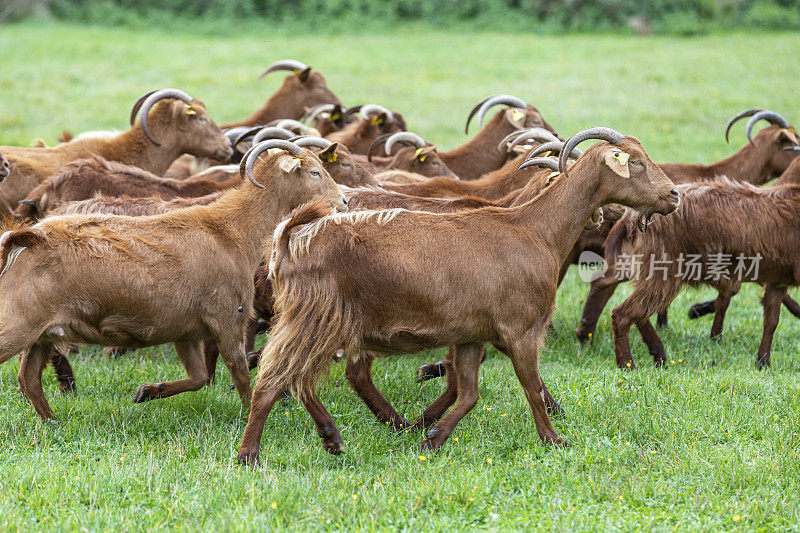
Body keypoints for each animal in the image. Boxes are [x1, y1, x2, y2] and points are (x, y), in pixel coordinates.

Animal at [234, 128, 680, 462]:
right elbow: (530, 386)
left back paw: (335, 436)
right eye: (635, 162)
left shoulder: (471, 335)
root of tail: (289, 240)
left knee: (300, 379)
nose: (674, 195)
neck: (535, 228)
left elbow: (468, 394)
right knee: (274, 380)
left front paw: (431, 437)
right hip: (314, 320)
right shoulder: (521, 329)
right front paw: (554, 439)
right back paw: (249, 454)